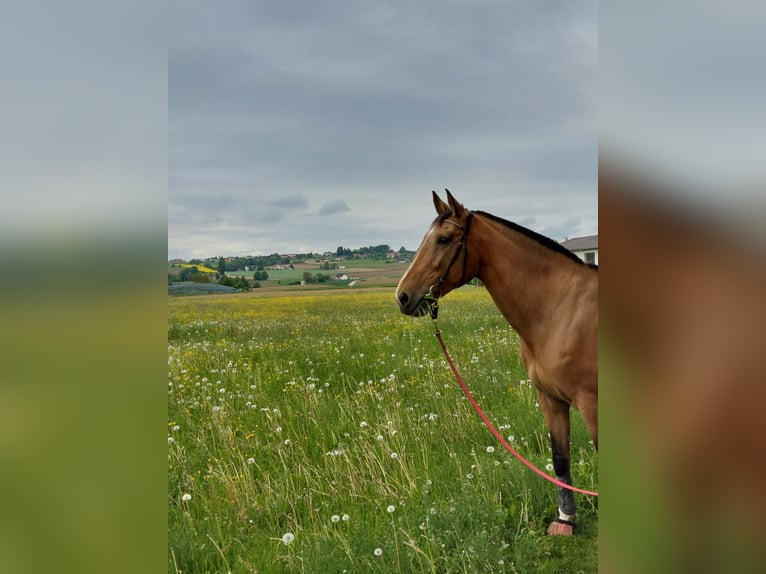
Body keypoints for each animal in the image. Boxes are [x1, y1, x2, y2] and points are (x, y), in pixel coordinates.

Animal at [395, 190, 598, 536]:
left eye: (444, 239)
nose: (403, 297)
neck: (560, 311)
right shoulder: (550, 398)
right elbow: (560, 458)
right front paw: (565, 520)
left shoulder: (592, 403)